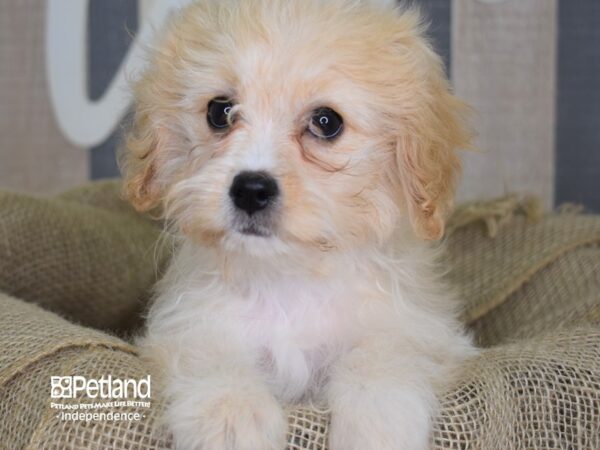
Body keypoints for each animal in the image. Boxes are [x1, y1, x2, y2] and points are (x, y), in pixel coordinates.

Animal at [122, 1, 476, 448]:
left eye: (326, 122)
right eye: (219, 111)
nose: (250, 190)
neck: (288, 277)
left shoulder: (418, 328)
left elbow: (387, 353)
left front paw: (377, 420)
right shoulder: (189, 324)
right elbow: (209, 354)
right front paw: (230, 415)